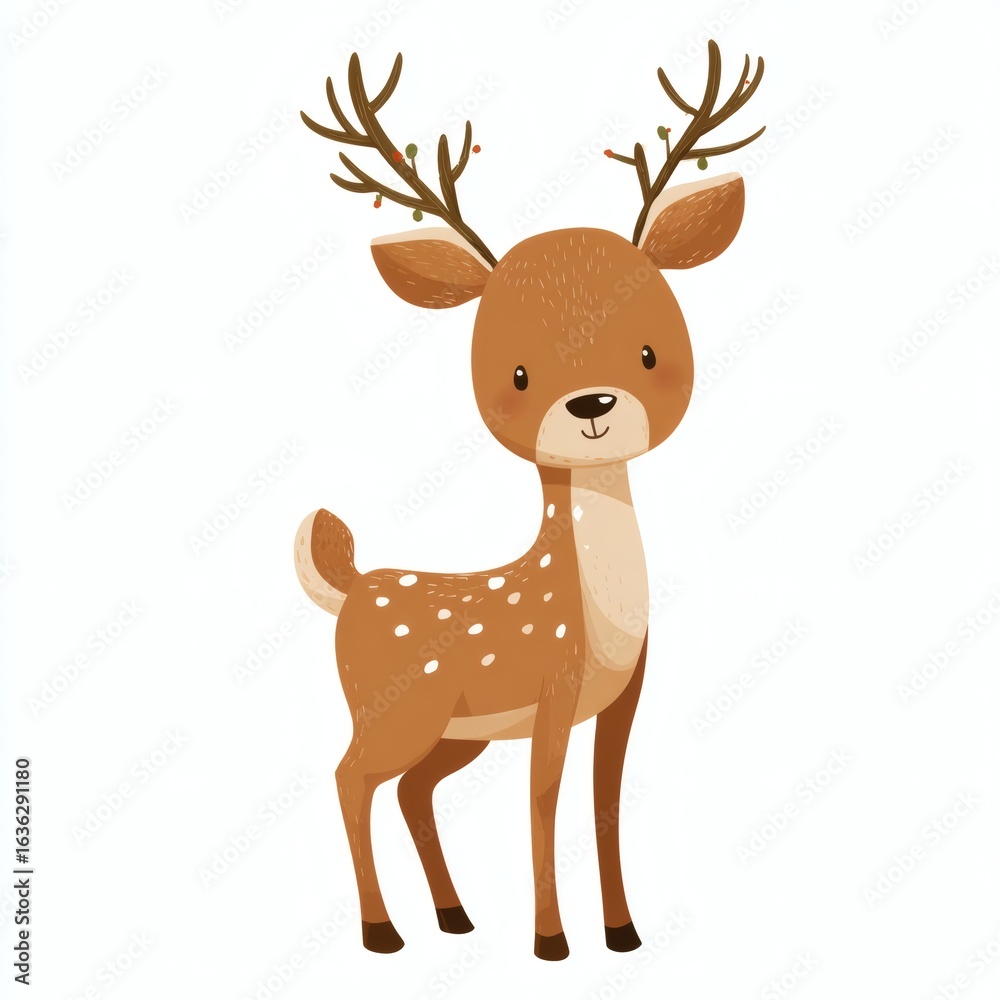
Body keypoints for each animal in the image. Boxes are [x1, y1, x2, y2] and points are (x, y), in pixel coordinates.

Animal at [294, 42, 765, 961]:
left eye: (650, 350)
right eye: (514, 373)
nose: (591, 404)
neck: (596, 608)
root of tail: (353, 585)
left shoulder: (623, 697)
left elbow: (604, 802)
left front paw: (622, 933)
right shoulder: (554, 685)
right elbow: (543, 802)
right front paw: (552, 943)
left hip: (454, 733)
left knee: (410, 791)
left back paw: (455, 916)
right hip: (397, 711)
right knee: (348, 775)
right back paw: (382, 932)